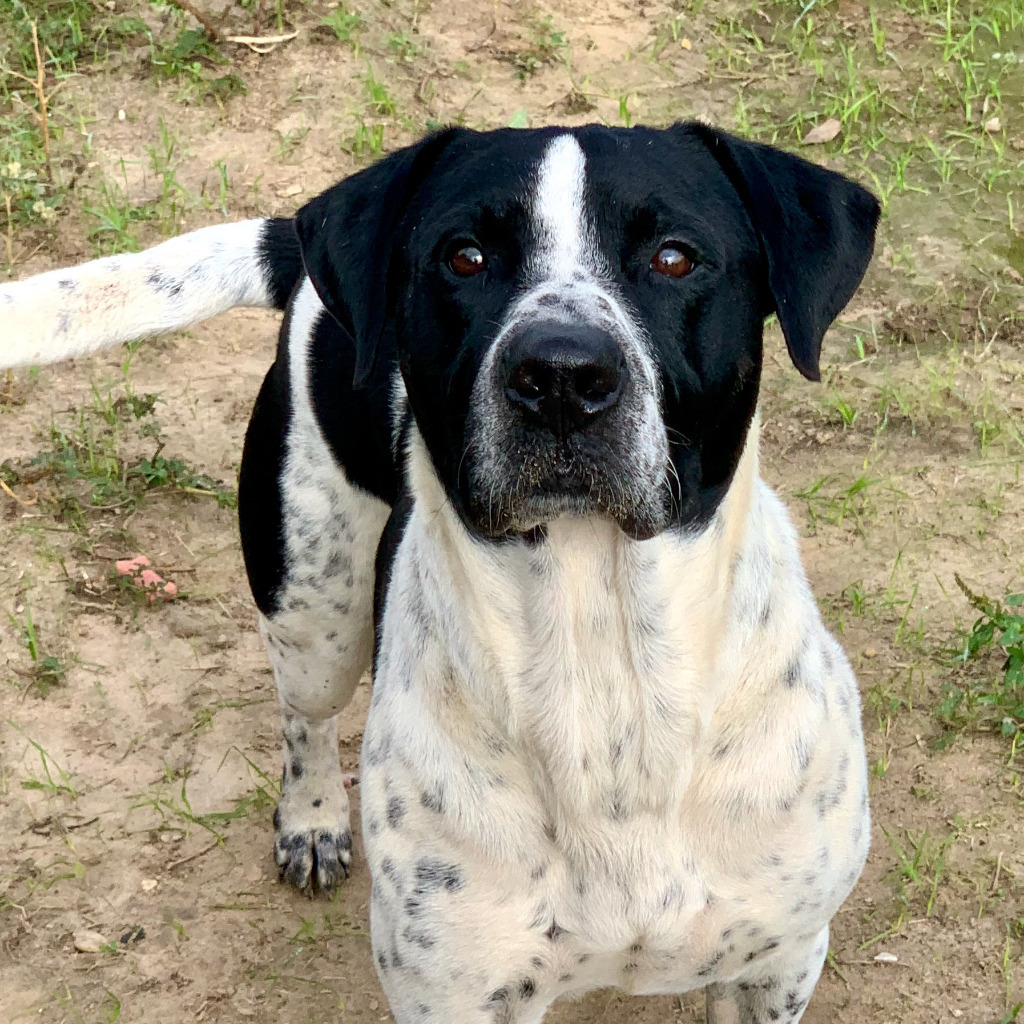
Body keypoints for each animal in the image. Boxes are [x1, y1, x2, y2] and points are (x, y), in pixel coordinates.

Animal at [2, 121, 880, 1024]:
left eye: (674, 257)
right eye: (464, 257)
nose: (560, 375)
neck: (600, 663)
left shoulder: (777, 966)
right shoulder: (454, 992)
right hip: (314, 609)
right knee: (305, 718)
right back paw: (312, 820)